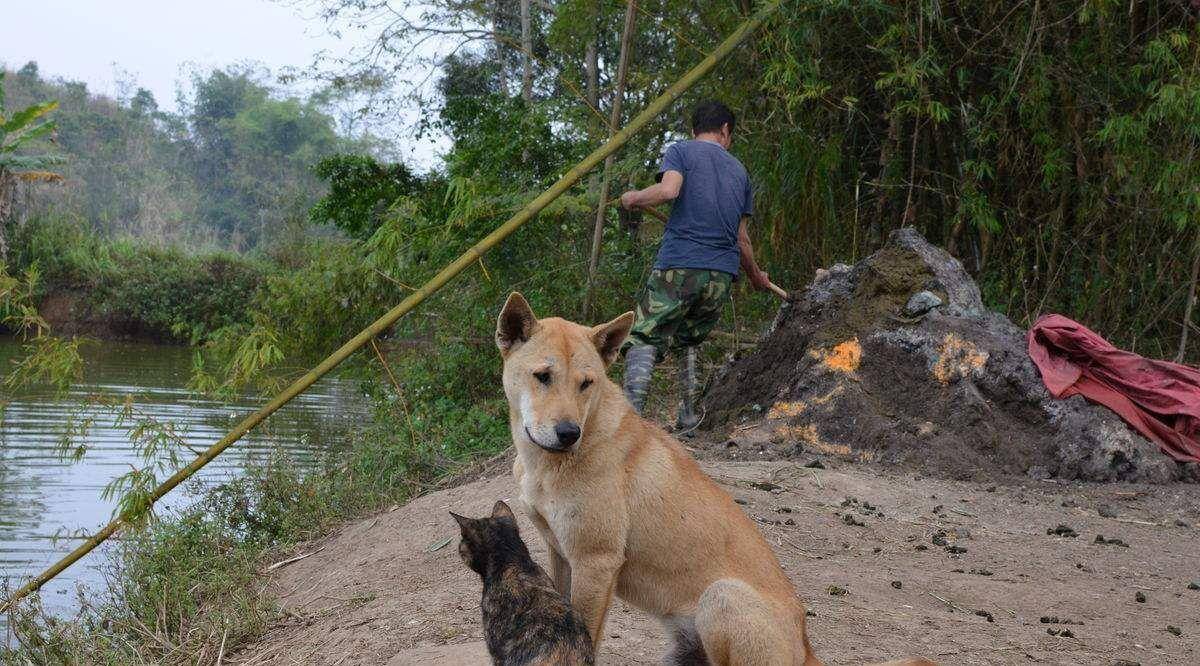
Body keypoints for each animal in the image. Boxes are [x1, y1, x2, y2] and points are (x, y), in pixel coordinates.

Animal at [492, 292, 931, 666]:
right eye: (543, 376)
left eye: (587, 383)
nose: (569, 433)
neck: (546, 464)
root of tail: (807, 649)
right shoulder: (561, 554)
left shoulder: (595, 562)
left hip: (721, 596)